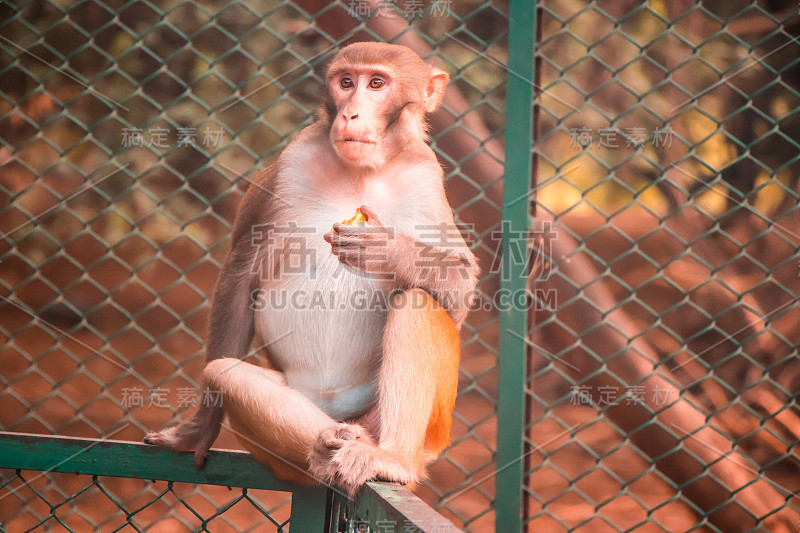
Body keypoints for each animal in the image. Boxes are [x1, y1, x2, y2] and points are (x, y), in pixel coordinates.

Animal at [145, 40, 478, 494]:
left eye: (377, 84)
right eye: (346, 82)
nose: (350, 113)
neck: (362, 170)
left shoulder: (426, 177)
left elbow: (459, 286)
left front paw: (388, 250)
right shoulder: (291, 160)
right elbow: (240, 275)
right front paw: (201, 425)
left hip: (432, 429)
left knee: (418, 300)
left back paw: (392, 457)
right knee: (226, 373)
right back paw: (324, 447)